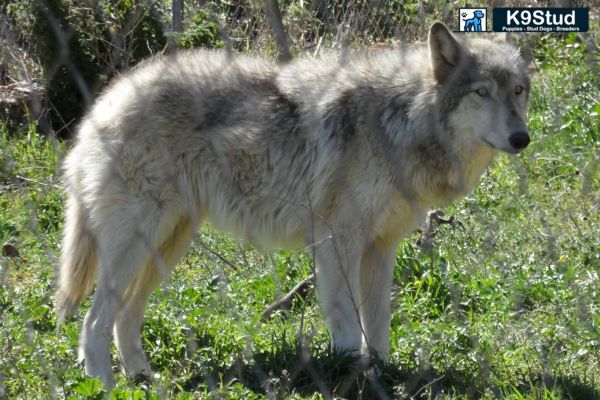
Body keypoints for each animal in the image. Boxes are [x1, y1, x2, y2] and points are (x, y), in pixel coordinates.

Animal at [57, 22, 528, 388]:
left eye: (519, 91)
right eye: (481, 92)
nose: (521, 138)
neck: (403, 120)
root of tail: (106, 101)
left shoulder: (381, 247)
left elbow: (378, 326)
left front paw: (382, 374)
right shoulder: (339, 241)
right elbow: (346, 323)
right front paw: (350, 374)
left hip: (169, 245)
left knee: (124, 316)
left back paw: (142, 378)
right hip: (139, 242)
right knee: (93, 321)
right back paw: (104, 385)